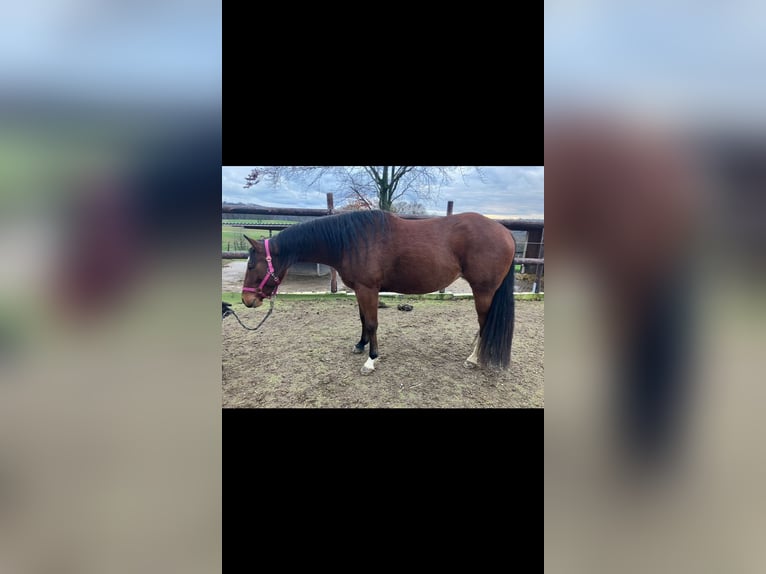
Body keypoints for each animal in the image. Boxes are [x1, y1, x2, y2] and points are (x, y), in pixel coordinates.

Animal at [241, 210, 516, 375]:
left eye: (252, 265)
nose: (246, 300)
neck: (350, 242)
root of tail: (505, 232)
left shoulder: (368, 290)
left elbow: (372, 323)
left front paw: (371, 359)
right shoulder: (360, 291)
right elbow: (363, 319)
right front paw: (360, 346)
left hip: (483, 291)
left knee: (484, 322)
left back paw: (474, 359)